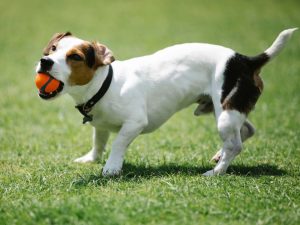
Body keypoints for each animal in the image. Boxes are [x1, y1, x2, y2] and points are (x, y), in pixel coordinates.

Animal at [35, 27, 298, 176]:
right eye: (53, 48)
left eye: (75, 57)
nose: (44, 61)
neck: (105, 84)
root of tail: (246, 60)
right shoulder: (100, 126)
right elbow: (98, 143)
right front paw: (91, 159)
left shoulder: (135, 123)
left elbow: (118, 144)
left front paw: (111, 167)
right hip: (223, 109)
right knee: (246, 130)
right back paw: (218, 156)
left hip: (225, 115)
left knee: (235, 144)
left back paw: (216, 171)